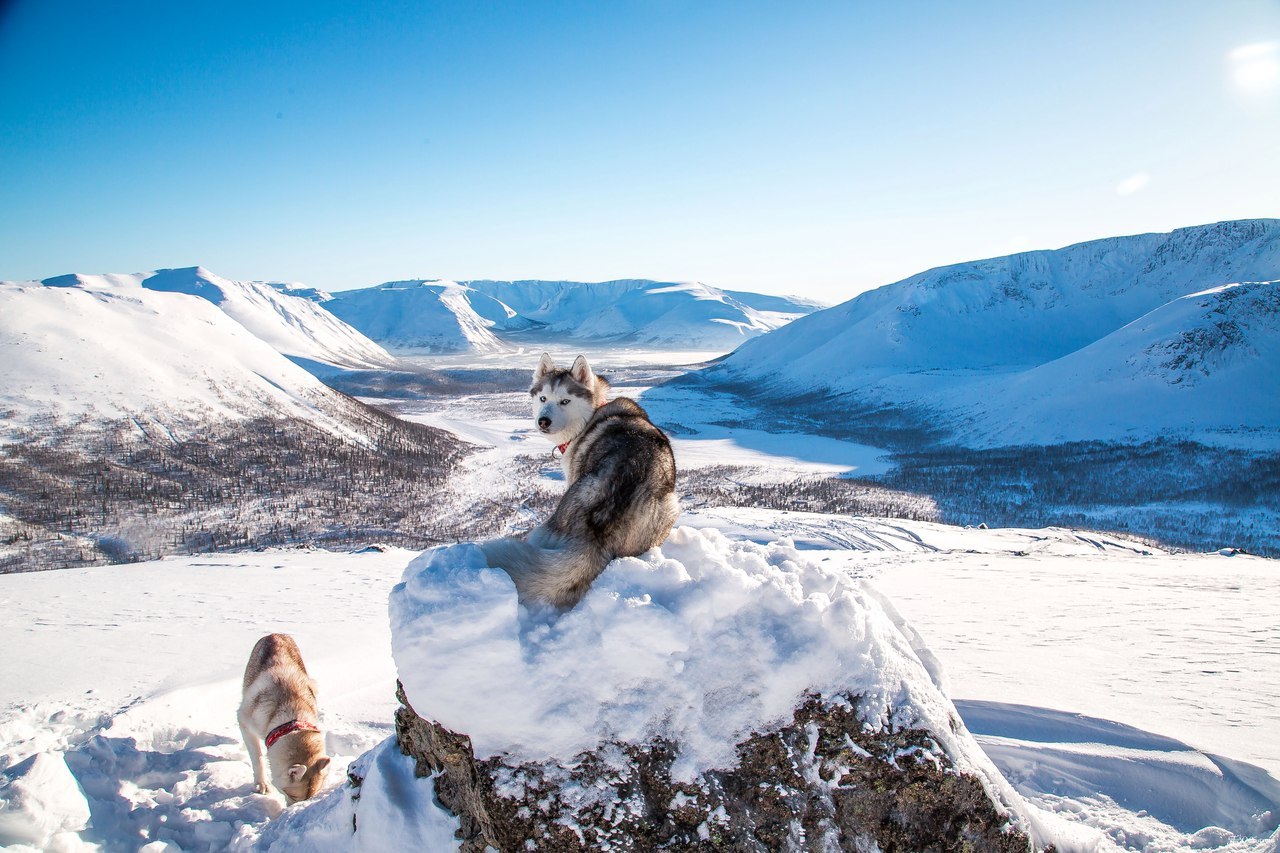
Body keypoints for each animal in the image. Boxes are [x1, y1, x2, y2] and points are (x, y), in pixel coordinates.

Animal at [239, 630, 332, 804]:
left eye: (310, 797)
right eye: (291, 794)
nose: (291, 809)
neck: (290, 720)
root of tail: (276, 633)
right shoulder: (245, 722)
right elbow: (257, 758)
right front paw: (262, 783)